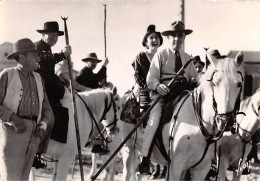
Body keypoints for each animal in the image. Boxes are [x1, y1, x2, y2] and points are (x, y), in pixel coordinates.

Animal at [121, 51, 245, 180]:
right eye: (214, 84)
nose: (224, 120)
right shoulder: (175, 168)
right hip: (128, 151)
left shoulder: (201, 169)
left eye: (239, 84)